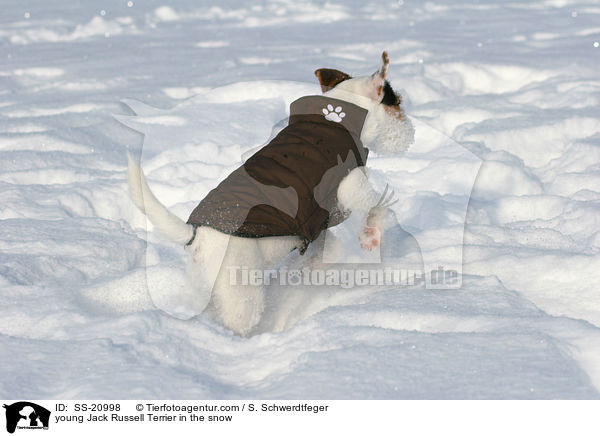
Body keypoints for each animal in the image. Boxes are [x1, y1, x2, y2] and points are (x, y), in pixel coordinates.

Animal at [129, 52, 414, 338]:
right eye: (397, 103)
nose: (411, 133)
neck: (337, 117)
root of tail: (198, 234)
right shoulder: (349, 186)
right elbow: (379, 205)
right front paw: (370, 236)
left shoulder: (317, 225)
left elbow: (330, 248)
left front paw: (306, 269)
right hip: (241, 291)